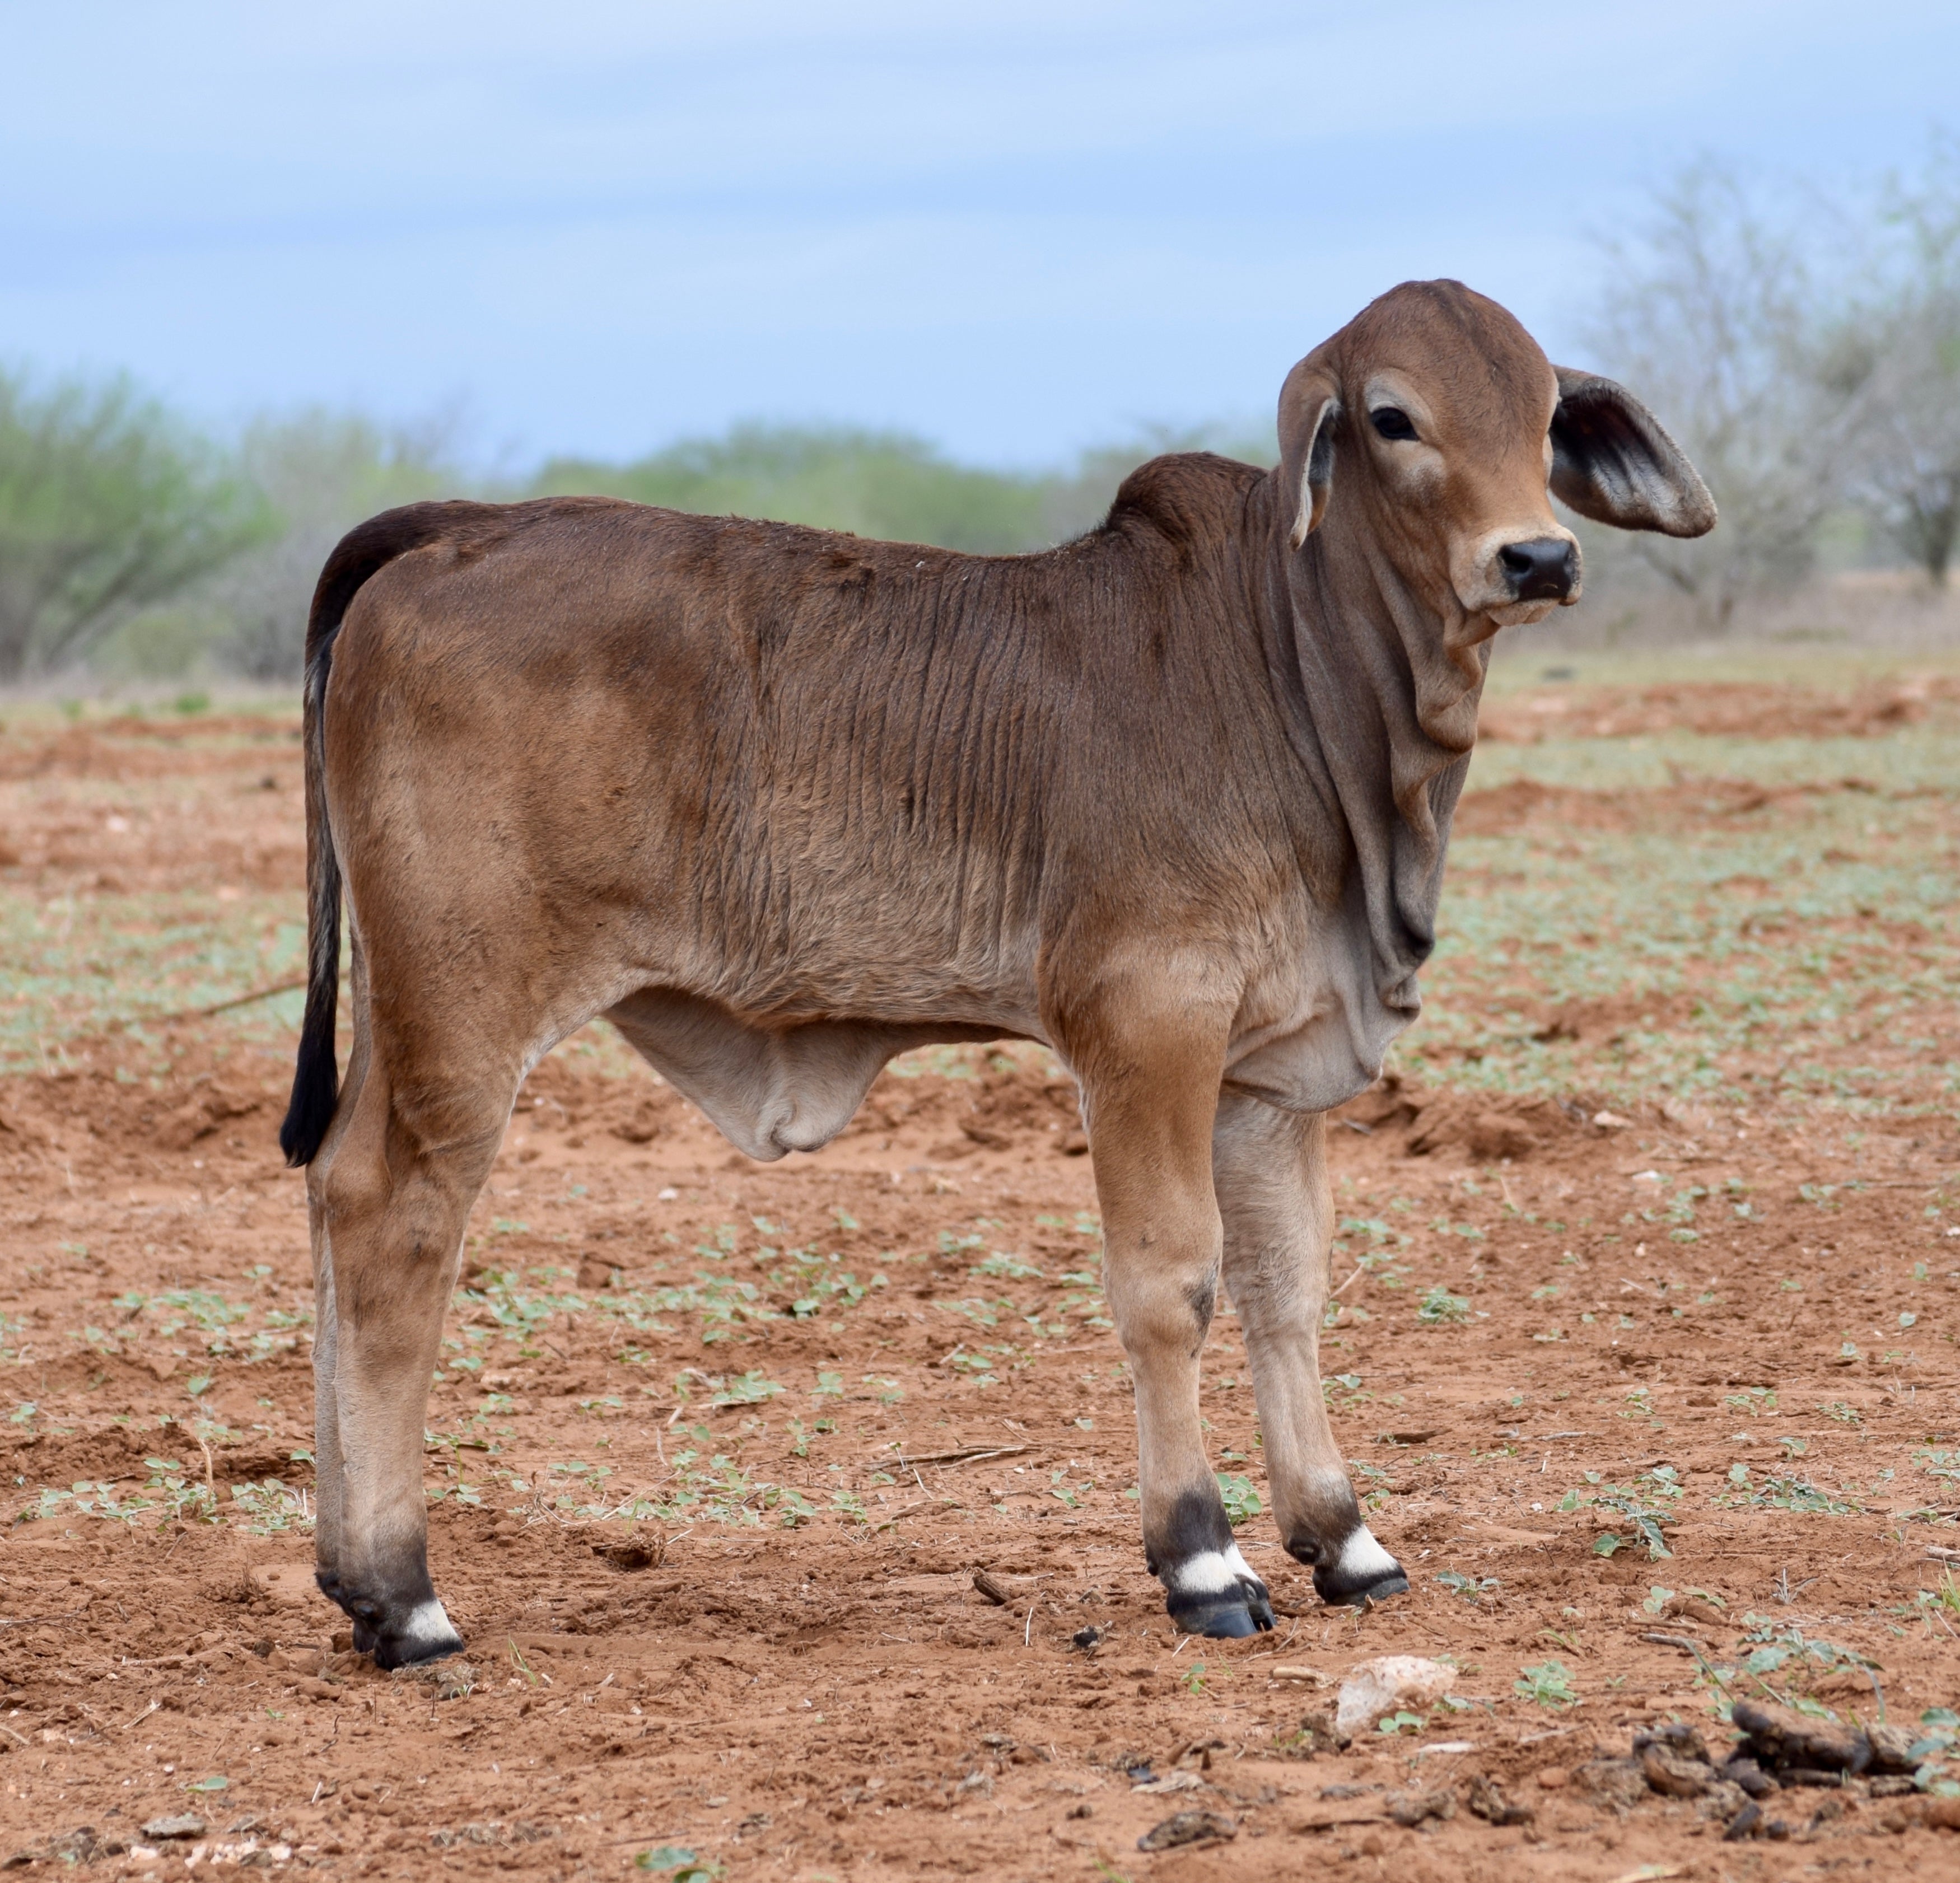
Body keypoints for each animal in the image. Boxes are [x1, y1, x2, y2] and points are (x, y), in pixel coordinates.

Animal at [280, 278, 1717, 1661]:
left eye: (1544, 413)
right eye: (1392, 417)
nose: (1538, 555)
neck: (1288, 671)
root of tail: (452, 532)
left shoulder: (1267, 1074)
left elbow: (1287, 1291)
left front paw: (1346, 1536)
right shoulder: (1147, 1030)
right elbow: (1170, 1285)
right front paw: (1204, 1560)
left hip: (399, 1012)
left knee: (332, 1194)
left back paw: (351, 1578)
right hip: (466, 1012)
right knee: (398, 1231)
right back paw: (408, 1598)